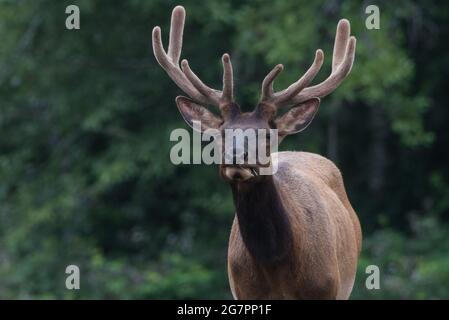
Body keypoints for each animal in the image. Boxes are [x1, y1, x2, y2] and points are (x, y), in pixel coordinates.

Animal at [152, 5, 362, 300]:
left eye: (267, 135)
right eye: (222, 134)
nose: (237, 157)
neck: (275, 264)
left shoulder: (326, 289)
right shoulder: (242, 291)